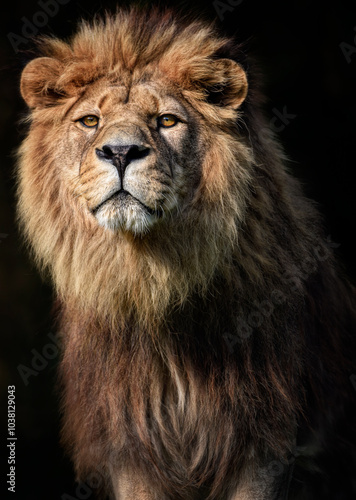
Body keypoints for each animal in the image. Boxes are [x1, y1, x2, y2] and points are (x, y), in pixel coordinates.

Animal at [17, 6, 356, 500]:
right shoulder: (130, 445)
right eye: (90, 121)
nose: (120, 152)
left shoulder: (264, 444)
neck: (153, 281)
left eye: (166, 121)